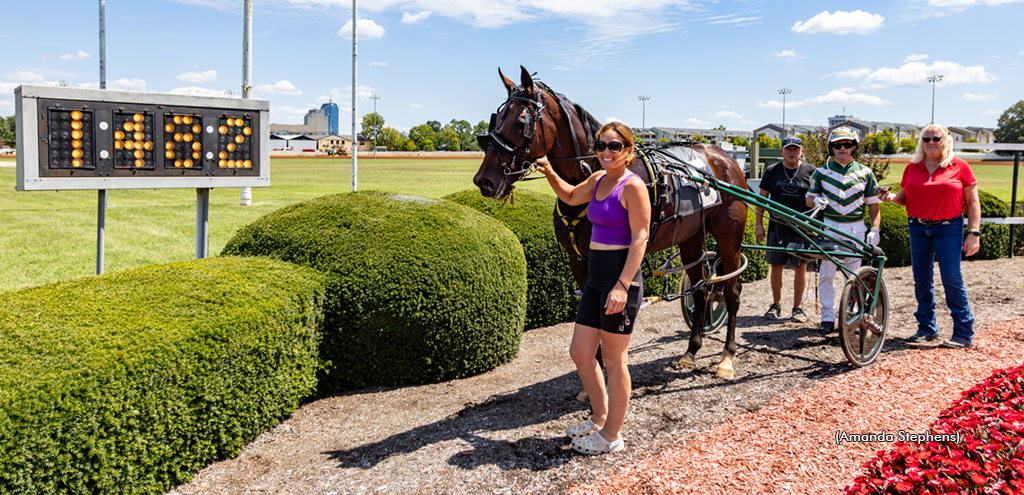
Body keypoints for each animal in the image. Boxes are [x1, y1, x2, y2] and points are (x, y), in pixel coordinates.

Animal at [473, 66, 753, 379]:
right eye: (496, 118)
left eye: (522, 121)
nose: (484, 180)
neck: (594, 176)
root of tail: (726, 158)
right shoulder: (579, 261)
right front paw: (593, 373)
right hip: (691, 237)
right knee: (702, 289)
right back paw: (691, 351)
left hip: (729, 235)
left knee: (731, 291)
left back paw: (727, 357)